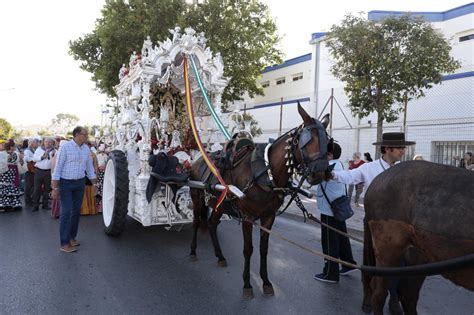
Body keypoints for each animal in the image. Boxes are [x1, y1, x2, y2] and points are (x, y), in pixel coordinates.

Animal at [189, 103, 330, 298]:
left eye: (327, 142)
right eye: (307, 141)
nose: (320, 173)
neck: (265, 174)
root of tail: (197, 160)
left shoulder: (269, 217)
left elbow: (264, 249)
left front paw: (266, 282)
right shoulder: (247, 217)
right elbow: (248, 249)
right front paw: (247, 284)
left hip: (220, 205)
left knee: (211, 224)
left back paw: (220, 256)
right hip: (197, 198)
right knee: (196, 222)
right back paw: (193, 251)